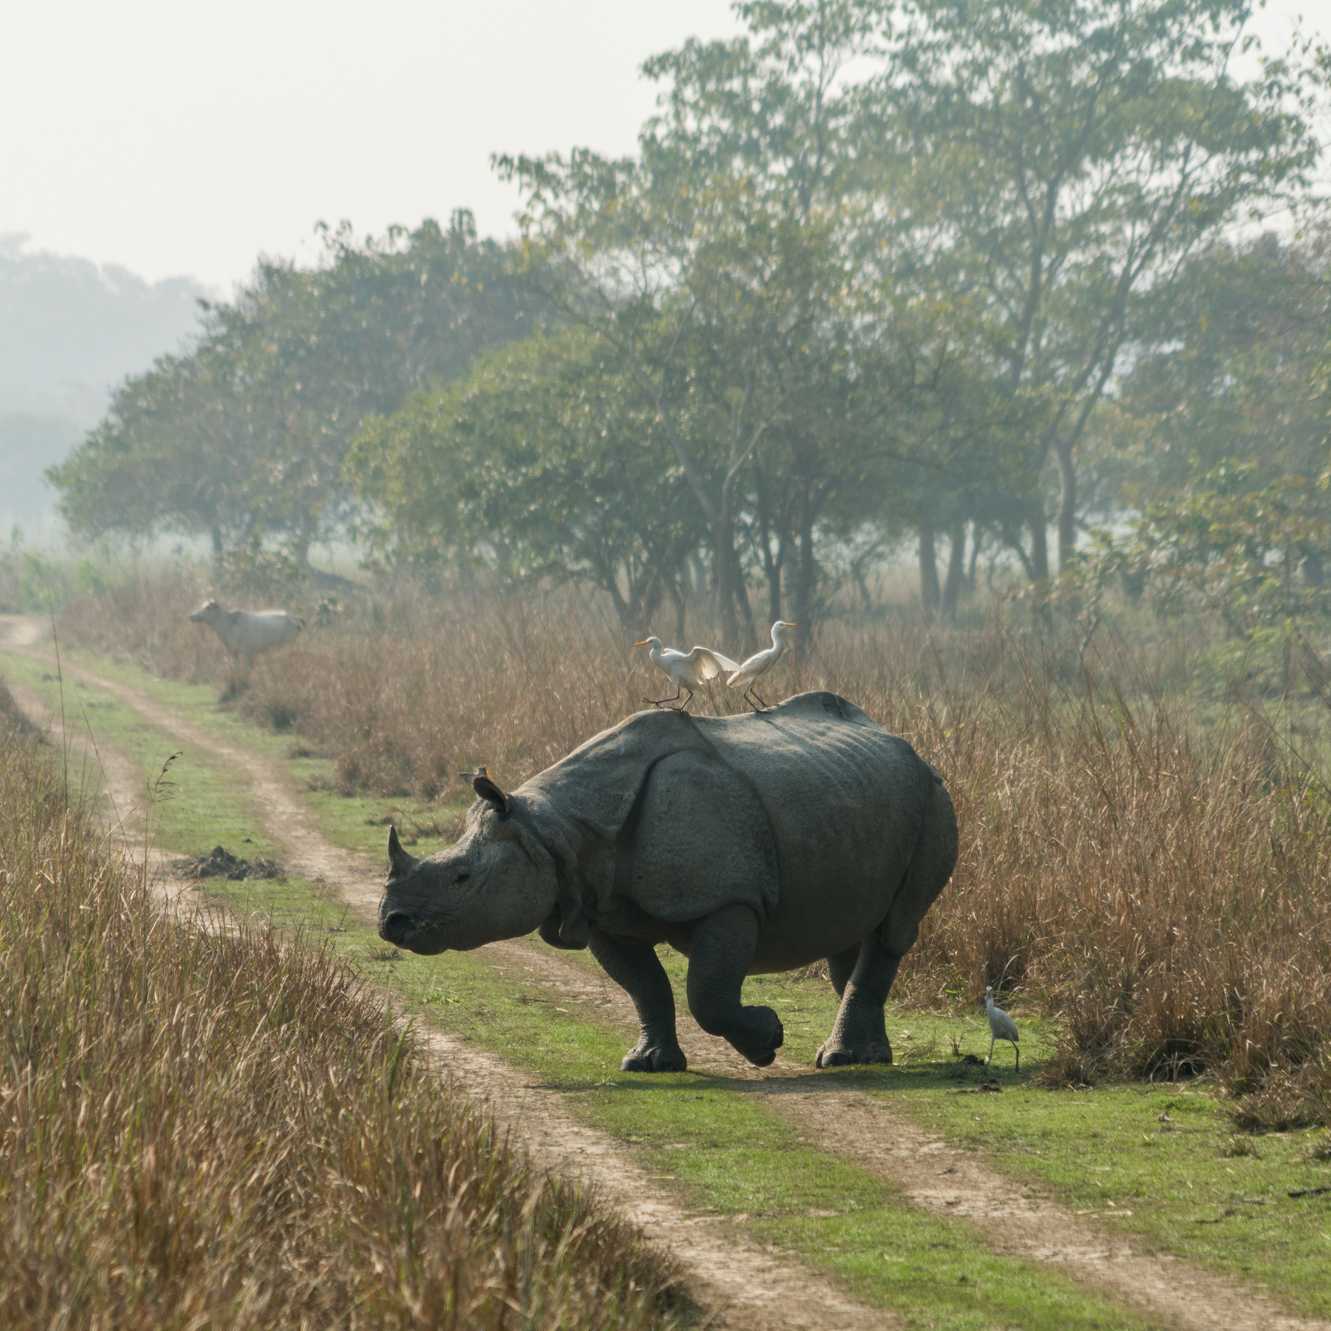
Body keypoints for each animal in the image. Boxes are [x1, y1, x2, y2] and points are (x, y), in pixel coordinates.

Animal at [378, 692, 957, 1071]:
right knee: (854, 931)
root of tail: (905, 743)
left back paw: (842, 1059)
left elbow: (708, 993)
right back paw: (863, 1057)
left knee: (894, 927)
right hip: (856, 794)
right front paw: (649, 1063)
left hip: (933, 795)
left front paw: (767, 1041)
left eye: (462, 877)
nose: (391, 923)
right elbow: (645, 987)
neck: (552, 830)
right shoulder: (601, 909)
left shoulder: (729, 898)